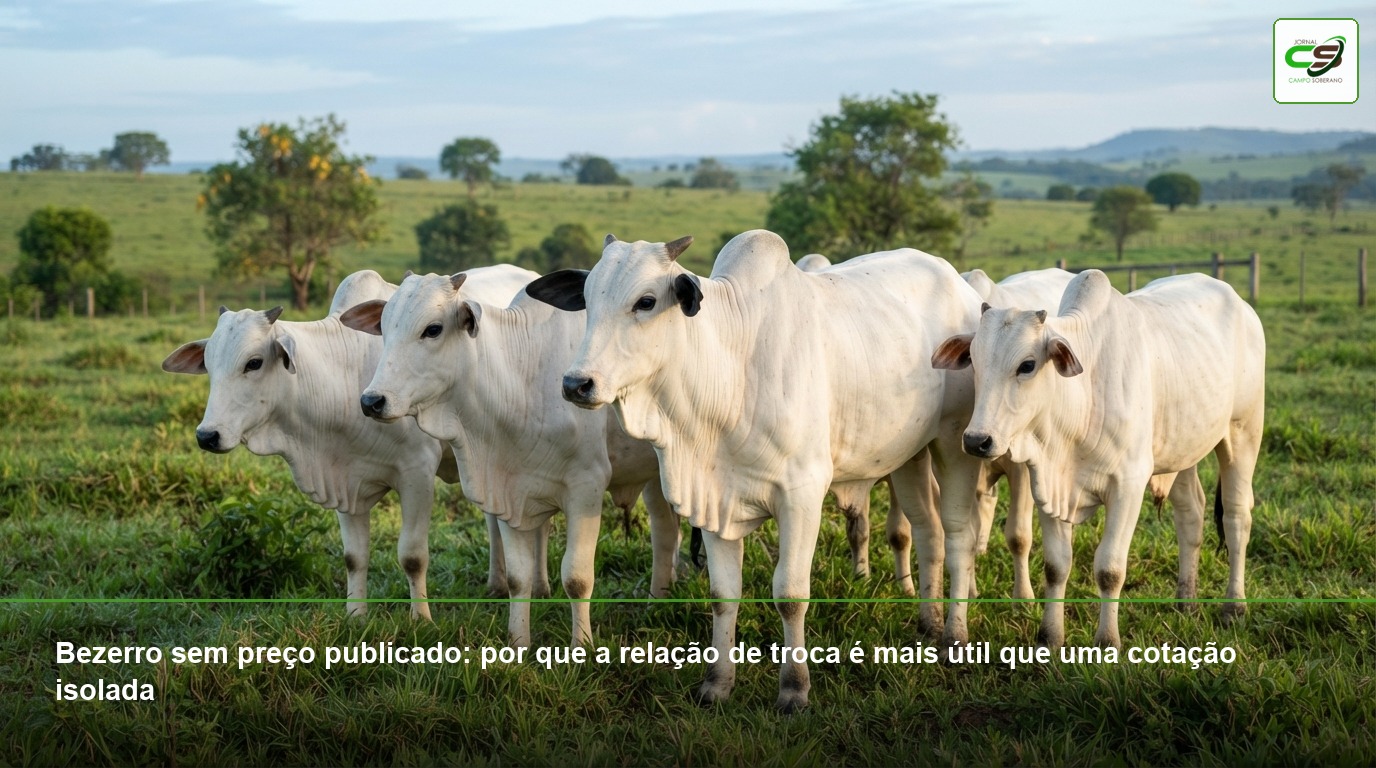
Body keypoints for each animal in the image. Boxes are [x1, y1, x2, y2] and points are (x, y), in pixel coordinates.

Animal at [162, 267, 534, 618]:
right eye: (209, 366)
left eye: (253, 363)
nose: (207, 435)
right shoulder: (344, 478)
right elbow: (354, 557)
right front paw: (355, 616)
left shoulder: (417, 474)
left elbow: (412, 557)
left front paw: (421, 619)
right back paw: (497, 583)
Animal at [338, 273, 681, 649]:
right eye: (384, 328)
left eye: (433, 329)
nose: (372, 401)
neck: (524, 380)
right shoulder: (508, 489)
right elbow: (519, 577)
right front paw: (518, 642)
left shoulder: (586, 488)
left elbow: (577, 578)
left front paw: (581, 646)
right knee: (666, 530)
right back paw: (660, 598)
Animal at [526, 230, 987, 712]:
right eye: (587, 298)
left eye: (646, 301)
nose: (576, 384)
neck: (731, 373)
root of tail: (958, 282)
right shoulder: (712, 500)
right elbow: (722, 595)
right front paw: (717, 684)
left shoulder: (802, 497)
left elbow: (790, 595)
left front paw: (795, 689)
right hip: (910, 453)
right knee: (928, 529)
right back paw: (928, 623)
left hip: (954, 443)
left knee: (957, 534)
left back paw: (954, 636)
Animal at [932, 269, 1264, 648]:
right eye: (974, 361)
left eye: (1027, 365)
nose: (977, 440)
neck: (1084, 396)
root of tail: (1241, 304)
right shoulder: (1046, 484)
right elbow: (1056, 566)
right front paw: (1049, 636)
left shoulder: (1129, 486)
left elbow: (1109, 569)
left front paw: (1107, 640)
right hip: (1185, 447)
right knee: (1190, 514)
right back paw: (1186, 602)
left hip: (1243, 432)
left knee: (1237, 517)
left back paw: (1233, 607)